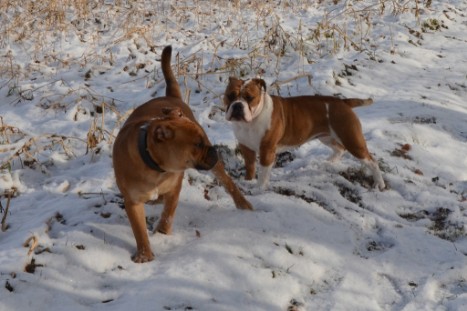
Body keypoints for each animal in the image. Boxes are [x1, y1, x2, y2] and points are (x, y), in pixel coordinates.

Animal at [112, 47, 252, 264]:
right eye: (197, 144)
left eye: (203, 141)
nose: (214, 149)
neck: (154, 166)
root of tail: (172, 97)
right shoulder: (132, 201)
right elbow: (139, 229)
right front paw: (144, 254)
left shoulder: (174, 187)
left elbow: (168, 212)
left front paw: (161, 232)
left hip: (216, 168)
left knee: (228, 183)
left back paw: (243, 204)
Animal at [225, 77, 386, 191]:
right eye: (230, 95)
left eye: (249, 97)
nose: (237, 105)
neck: (250, 122)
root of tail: (343, 102)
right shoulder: (246, 148)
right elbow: (250, 167)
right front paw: (248, 182)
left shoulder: (267, 150)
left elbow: (263, 173)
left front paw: (259, 188)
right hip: (326, 137)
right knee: (340, 149)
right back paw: (328, 162)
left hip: (351, 139)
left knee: (372, 161)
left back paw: (379, 184)